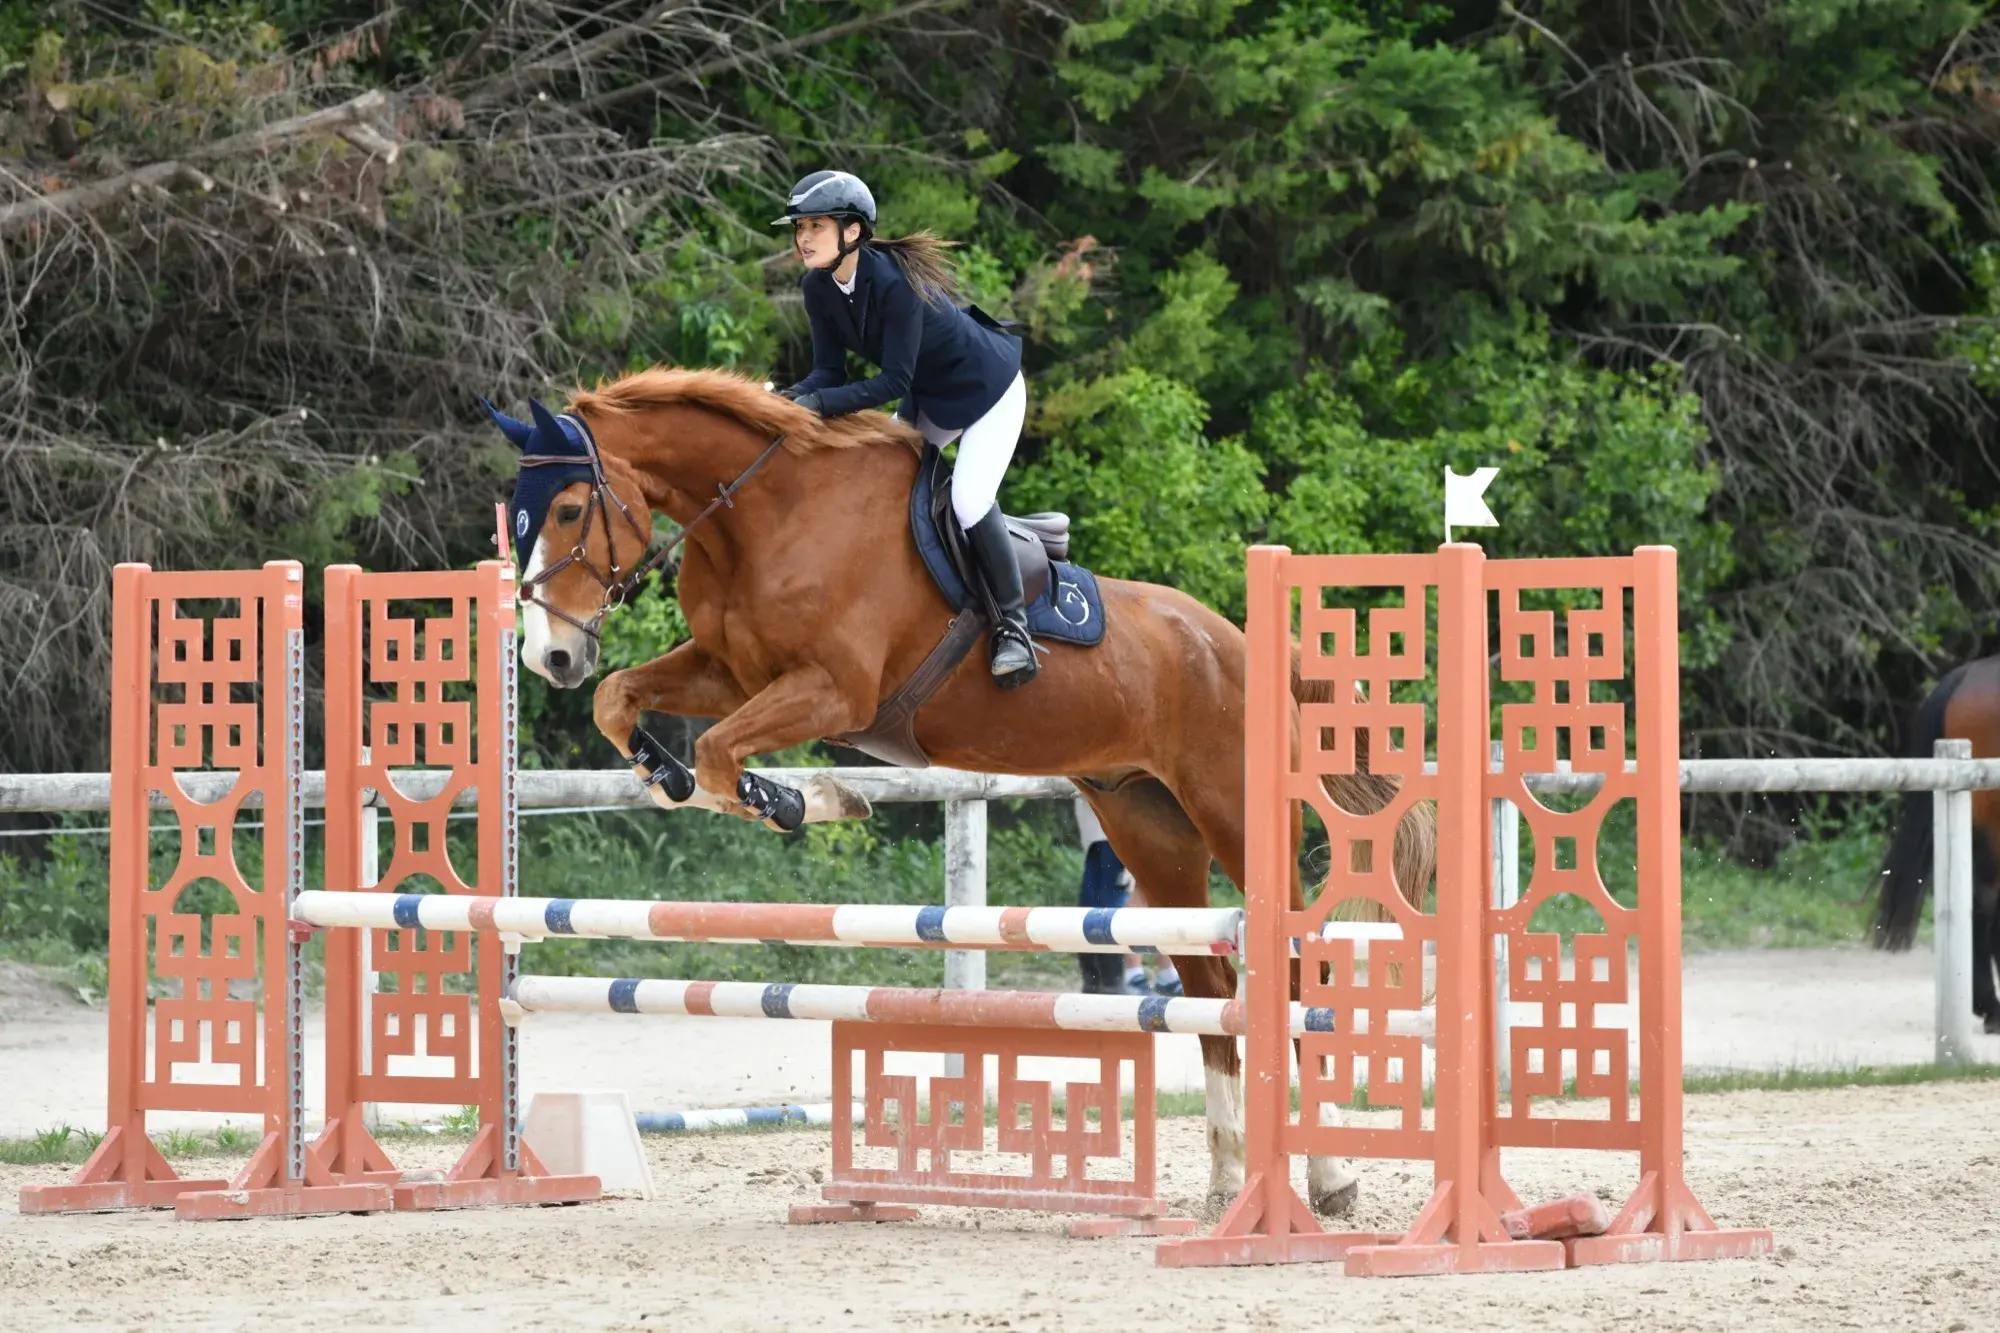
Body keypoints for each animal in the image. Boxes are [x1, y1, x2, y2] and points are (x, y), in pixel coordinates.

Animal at [482, 366, 1440, 1214]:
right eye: (518, 516)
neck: (762, 518)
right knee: (1211, 988)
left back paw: (1325, 1180)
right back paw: (1226, 1178)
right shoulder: (728, 672)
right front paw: (672, 773)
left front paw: (803, 800)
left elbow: (721, 753)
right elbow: (623, 704)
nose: (549, 655)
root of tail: (1242, 642)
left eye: (568, 509)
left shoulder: (832, 691)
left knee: (1293, 971)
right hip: (1149, 828)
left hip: (1234, 815)